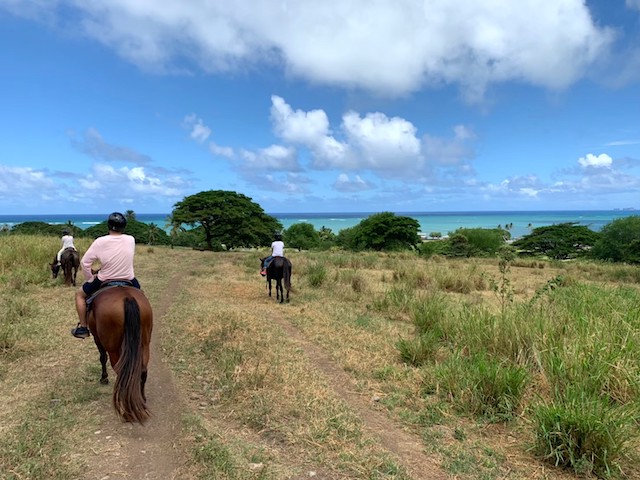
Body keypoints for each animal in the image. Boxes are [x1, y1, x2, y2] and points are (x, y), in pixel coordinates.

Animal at [87, 284, 154, 424]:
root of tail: (127, 298)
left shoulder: (97, 337)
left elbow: (102, 357)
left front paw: (104, 378)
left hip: (112, 347)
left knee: (122, 372)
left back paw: (126, 409)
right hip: (145, 343)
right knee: (142, 371)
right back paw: (142, 399)